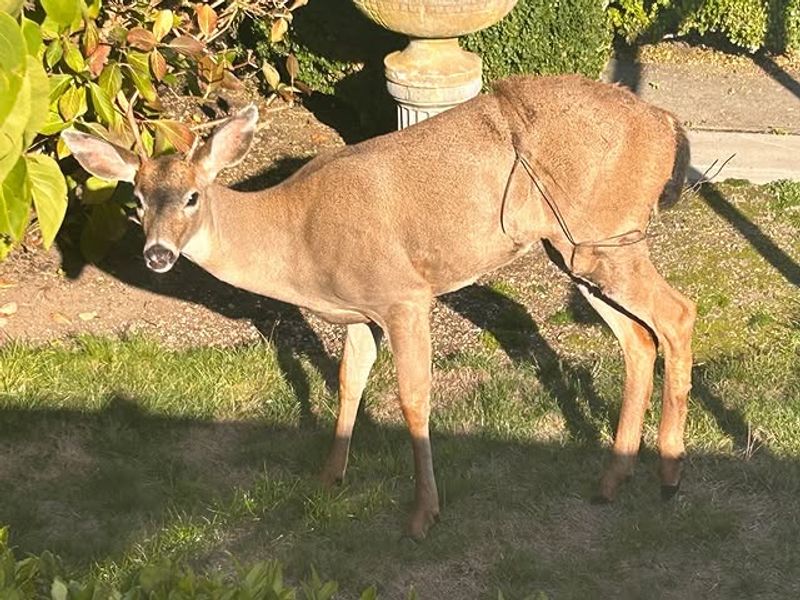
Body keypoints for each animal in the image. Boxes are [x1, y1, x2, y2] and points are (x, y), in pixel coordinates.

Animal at [61, 74, 695, 540]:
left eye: (193, 196)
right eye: (136, 198)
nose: (157, 254)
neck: (298, 240)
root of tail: (666, 123)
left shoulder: (402, 295)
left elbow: (413, 399)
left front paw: (422, 516)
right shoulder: (359, 313)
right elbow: (348, 381)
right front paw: (329, 478)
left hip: (603, 231)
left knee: (677, 313)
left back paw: (669, 473)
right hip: (577, 248)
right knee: (638, 338)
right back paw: (612, 479)